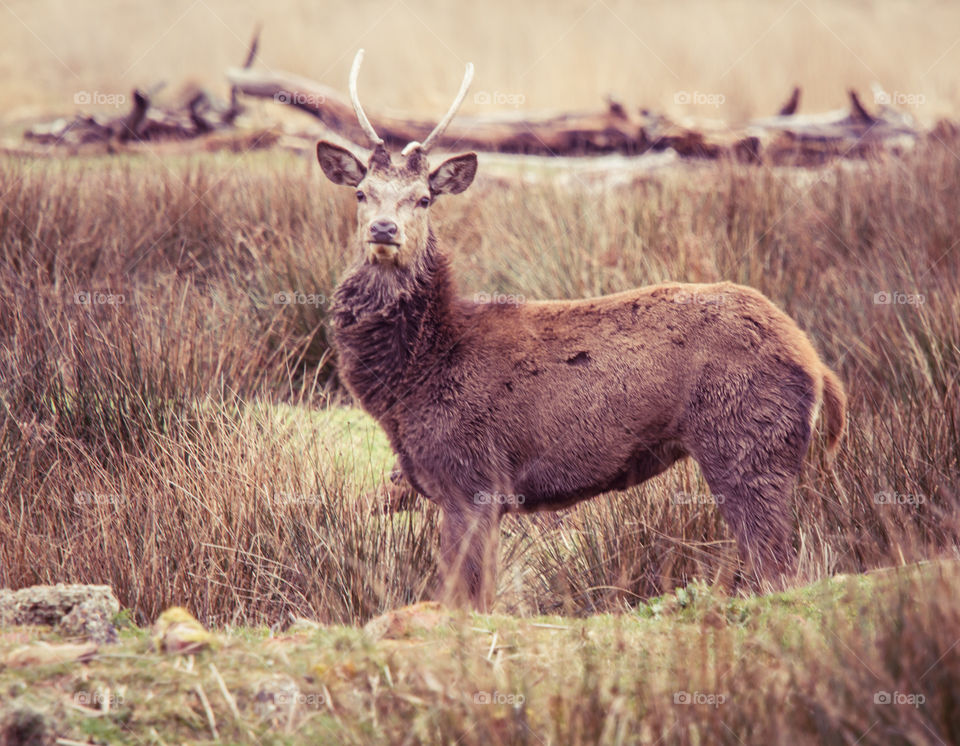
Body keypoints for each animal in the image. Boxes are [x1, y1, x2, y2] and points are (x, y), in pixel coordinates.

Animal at [318, 52, 844, 612]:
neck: (415, 376)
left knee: (779, 571)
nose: (383, 230)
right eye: (361, 193)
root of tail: (816, 363)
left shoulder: (473, 476)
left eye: (422, 199)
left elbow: (466, 598)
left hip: (746, 445)